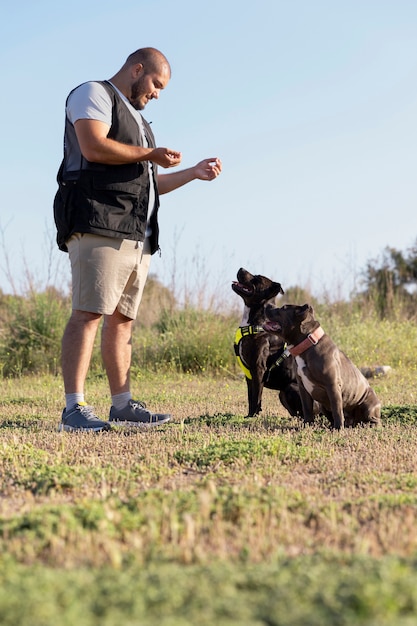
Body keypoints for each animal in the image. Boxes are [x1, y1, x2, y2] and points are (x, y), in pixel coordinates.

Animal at [231, 266, 302, 416]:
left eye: (257, 279)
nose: (241, 268)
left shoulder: (258, 369)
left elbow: (256, 396)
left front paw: (253, 416)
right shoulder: (249, 375)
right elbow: (251, 397)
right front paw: (249, 416)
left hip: (290, 387)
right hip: (282, 394)